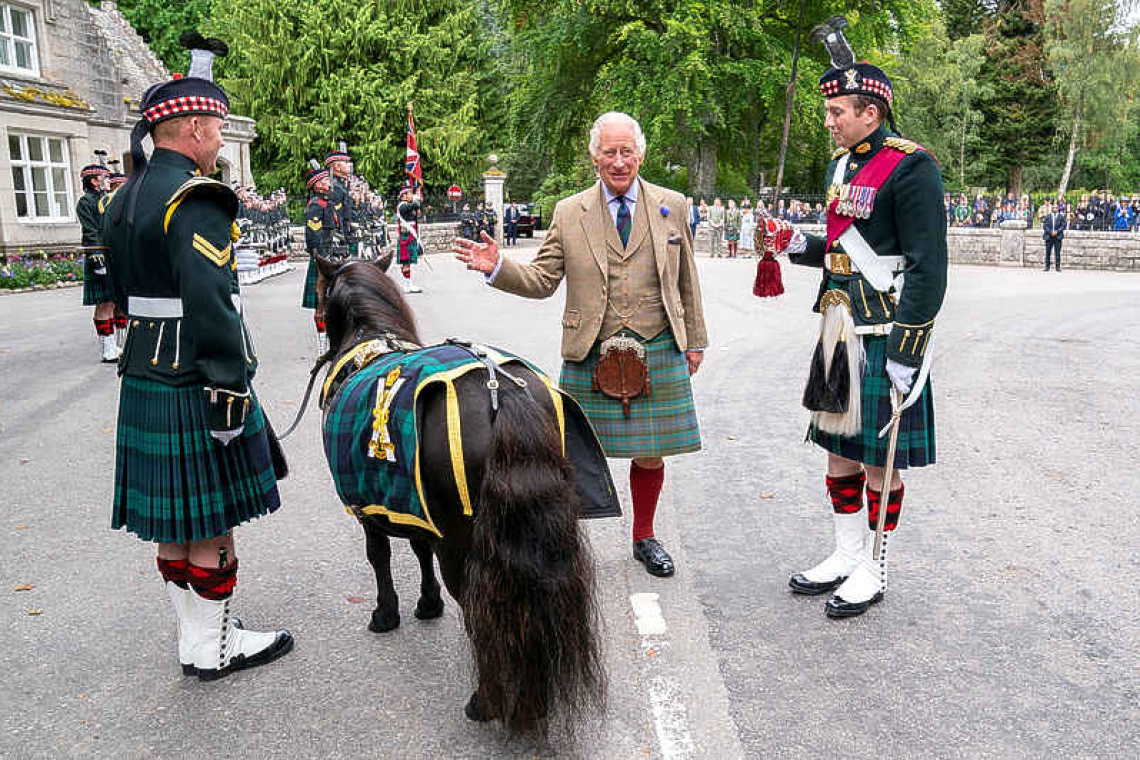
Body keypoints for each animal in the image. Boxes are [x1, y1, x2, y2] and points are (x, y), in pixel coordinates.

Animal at [312, 257, 611, 738]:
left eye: (321, 291)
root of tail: (499, 388)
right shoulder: (409, 502)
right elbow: (418, 549)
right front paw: (427, 603)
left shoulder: (367, 509)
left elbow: (380, 556)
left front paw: (386, 613)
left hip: (462, 546)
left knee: (479, 615)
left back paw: (489, 702)